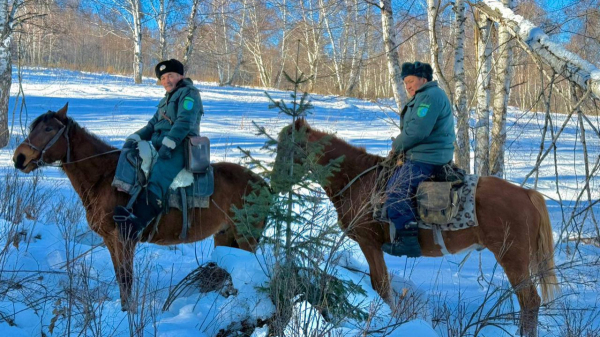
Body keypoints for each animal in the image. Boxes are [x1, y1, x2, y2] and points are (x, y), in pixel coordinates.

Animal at [11, 104, 264, 310]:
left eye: (48, 129)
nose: (19, 158)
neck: (104, 178)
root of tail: (262, 183)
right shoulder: (110, 240)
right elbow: (120, 278)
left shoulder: (125, 238)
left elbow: (126, 279)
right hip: (225, 236)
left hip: (247, 238)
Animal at [276, 119, 556, 336]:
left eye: (289, 146)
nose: (275, 181)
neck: (358, 181)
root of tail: (527, 194)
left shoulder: (369, 243)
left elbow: (381, 285)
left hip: (512, 258)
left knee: (530, 301)